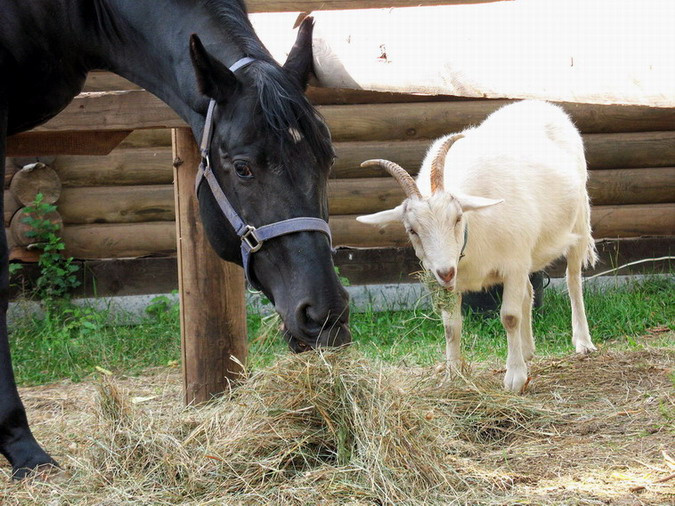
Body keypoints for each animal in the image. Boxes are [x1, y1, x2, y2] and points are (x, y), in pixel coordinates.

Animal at [357, 100, 597, 392]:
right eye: (412, 230)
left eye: (458, 218)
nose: (446, 272)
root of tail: (538, 103)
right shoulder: (461, 280)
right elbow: (451, 326)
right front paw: (452, 374)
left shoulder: (513, 265)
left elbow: (509, 317)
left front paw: (515, 378)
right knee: (530, 291)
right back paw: (527, 349)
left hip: (579, 221)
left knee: (573, 280)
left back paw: (583, 342)